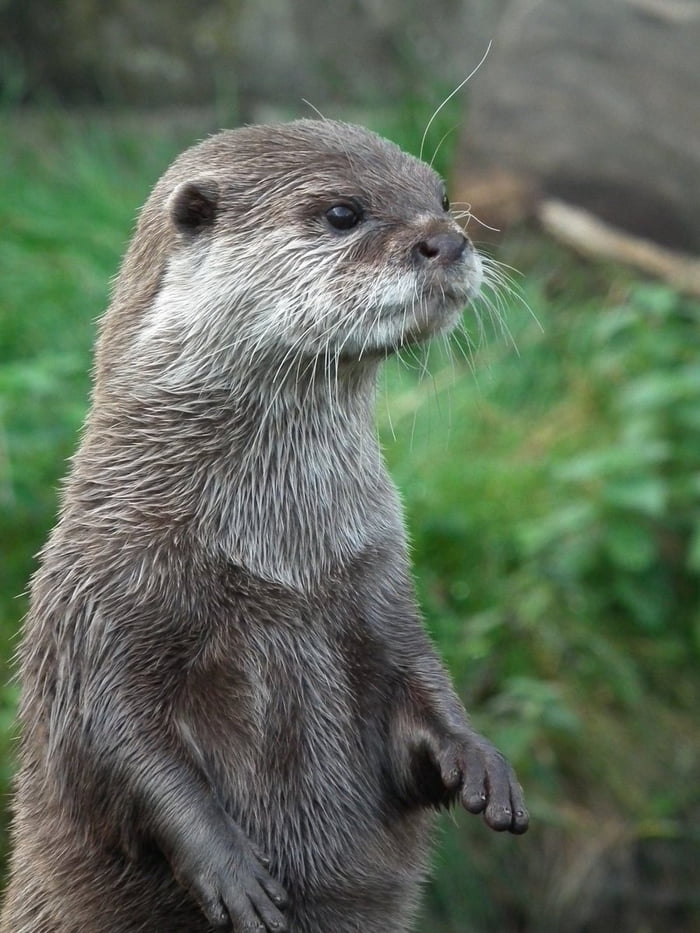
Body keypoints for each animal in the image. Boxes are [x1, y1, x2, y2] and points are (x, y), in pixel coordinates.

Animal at [0, 122, 524, 932]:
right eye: (342, 213)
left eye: (440, 198)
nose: (447, 239)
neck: (280, 557)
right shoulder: (97, 605)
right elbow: (117, 744)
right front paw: (230, 868)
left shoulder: (379, 585)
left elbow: (421, 685)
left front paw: (479, 759)